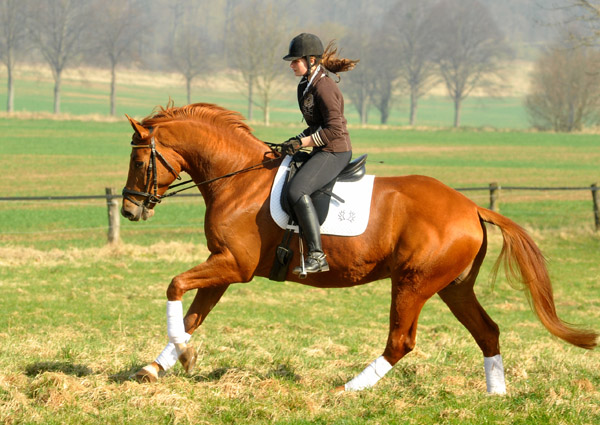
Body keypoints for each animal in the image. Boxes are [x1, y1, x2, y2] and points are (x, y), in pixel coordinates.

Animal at [120, 102, 596, 390]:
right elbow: (192, 315)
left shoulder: (233, 265)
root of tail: (470, 206)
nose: (128, 209)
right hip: (453, 286)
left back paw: (351, 388)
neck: (239, 179)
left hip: (413, 284)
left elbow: (175, 286)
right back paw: (495, 394)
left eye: (140, 161)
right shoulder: (224, 267)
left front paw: (181, 357)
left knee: (401, 341)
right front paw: (161, 364)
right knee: (487, 331)